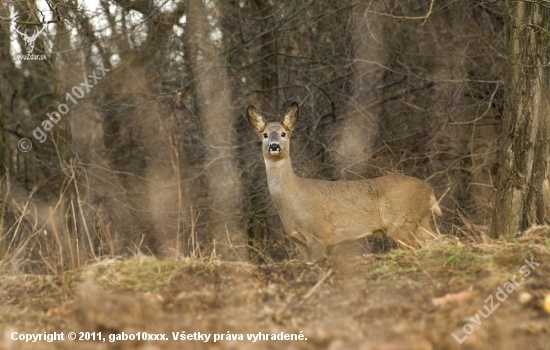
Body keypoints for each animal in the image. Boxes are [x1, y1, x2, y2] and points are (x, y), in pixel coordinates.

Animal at [249, 102, 444, 262]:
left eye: (283, 134)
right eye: (265, 135)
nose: (274, 146)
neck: (291, 196)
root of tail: (429, 190)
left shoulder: (319, 234)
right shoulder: (298, 242)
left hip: (402, 223)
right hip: (419, 222)